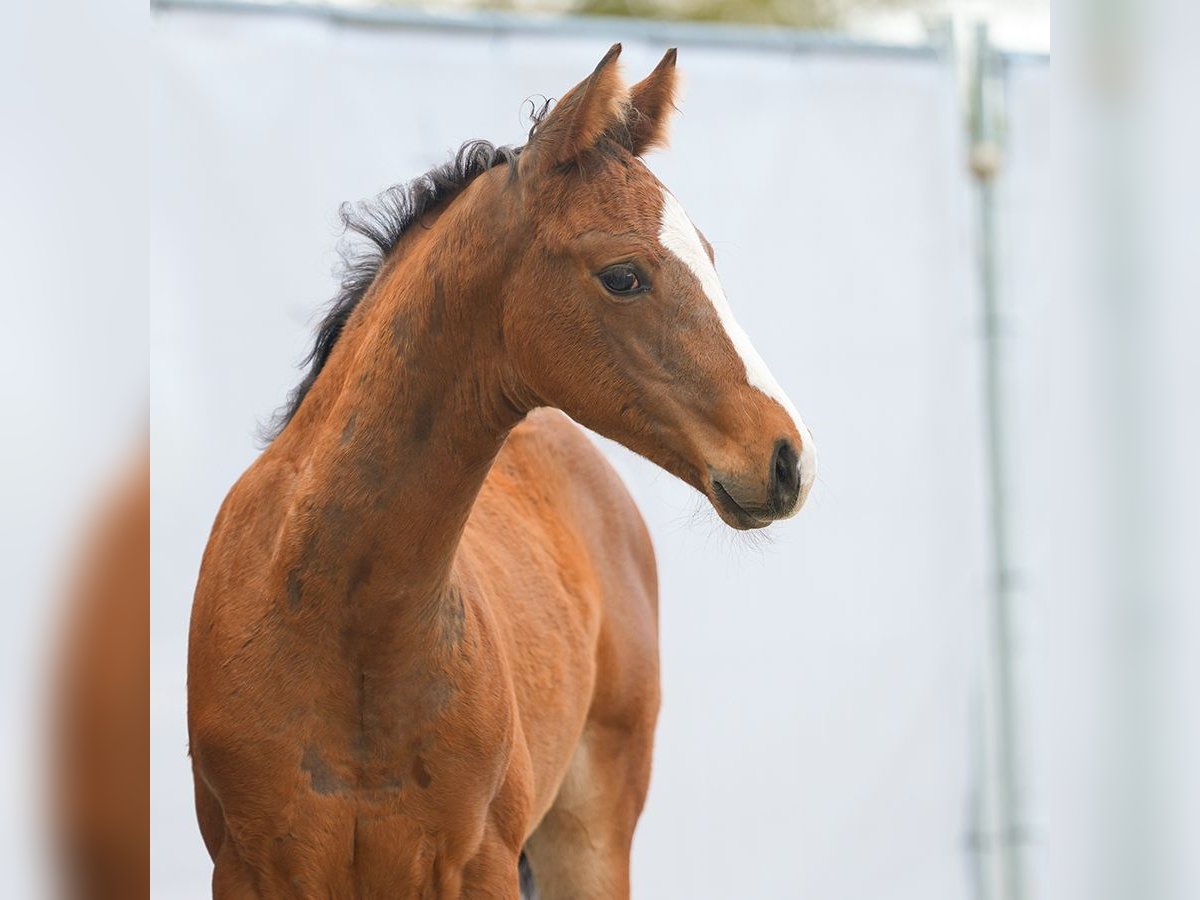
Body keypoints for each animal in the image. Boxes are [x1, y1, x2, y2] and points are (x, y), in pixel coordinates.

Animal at [187, 49, 816, 900]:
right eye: (623, 275)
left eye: (710, 258)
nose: (787, 456)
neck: (349, 630)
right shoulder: (250, 870)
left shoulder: (480, 864)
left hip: (590, 839)